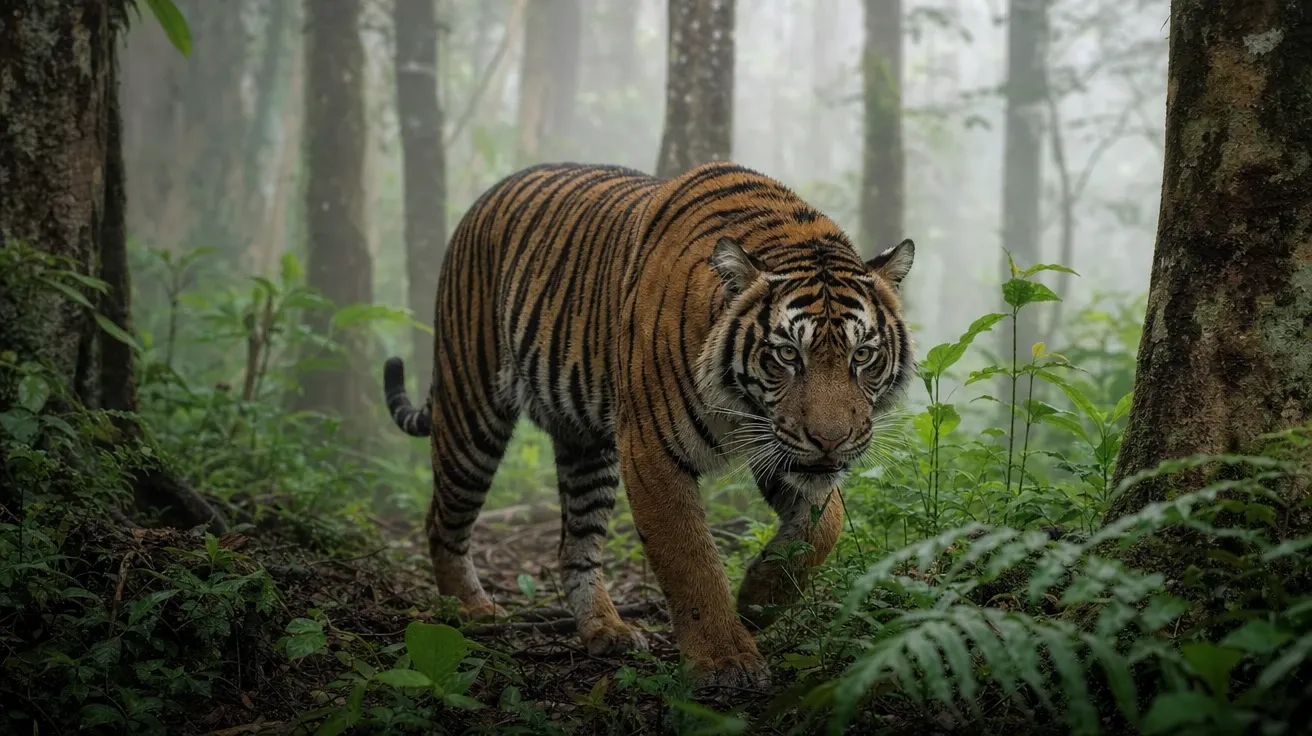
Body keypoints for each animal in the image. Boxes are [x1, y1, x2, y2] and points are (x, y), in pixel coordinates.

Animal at [382, 161, 914, 687]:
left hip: (586, 446)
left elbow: (824, 527)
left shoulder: (778, 444)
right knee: (442, 520)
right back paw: (468, 611)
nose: (830, 441)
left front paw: (757, 600)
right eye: (787, 354)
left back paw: (606, 630)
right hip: (471, 408)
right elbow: (690, 559)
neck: (740, 406)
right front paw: (724, 659)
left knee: (576, 544)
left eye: (862, 355)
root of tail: (487, 196)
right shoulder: (651, 449)